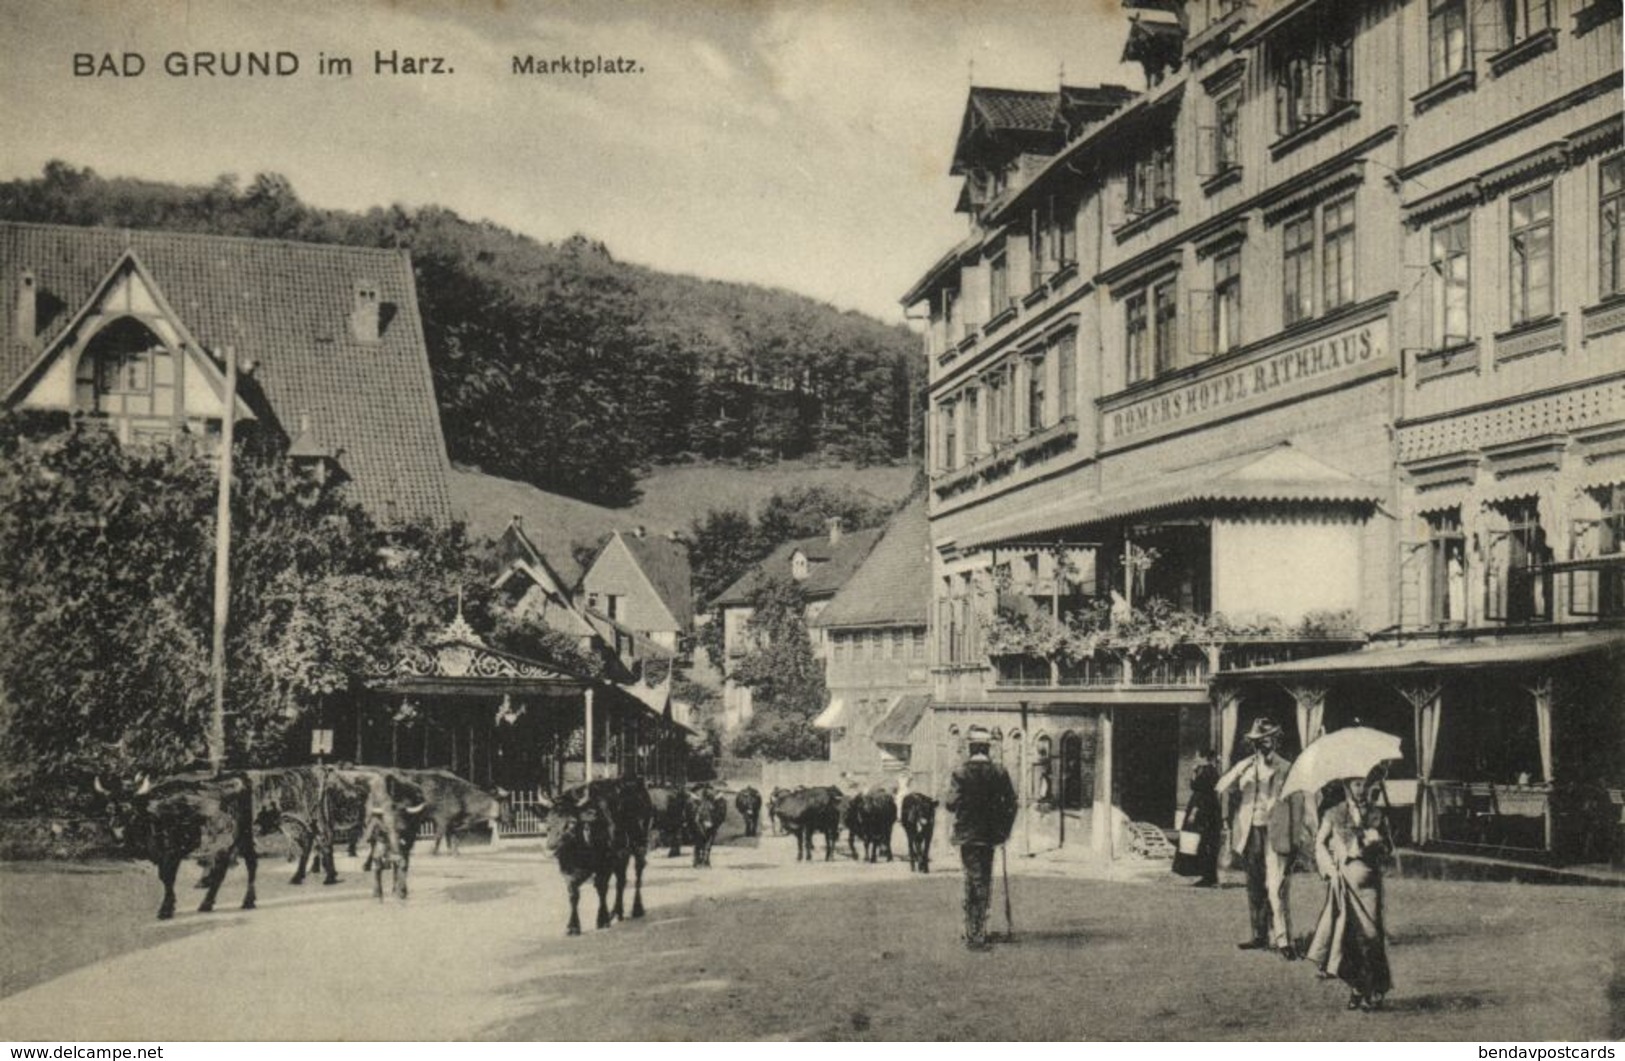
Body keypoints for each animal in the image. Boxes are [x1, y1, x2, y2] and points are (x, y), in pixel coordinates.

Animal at [542, 773, 650, 929]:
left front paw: (602, 919)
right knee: (621, 881)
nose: (551, 848)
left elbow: (601, 888)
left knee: (638, 875)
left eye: (572, 823)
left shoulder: (605, 865)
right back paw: (617, 911)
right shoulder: (567, 870)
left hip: (639, 845)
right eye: (548, 822)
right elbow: (573, 894)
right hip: (622, 856)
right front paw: (573, 925)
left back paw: (637, 909)